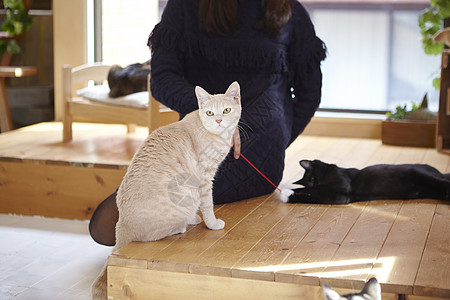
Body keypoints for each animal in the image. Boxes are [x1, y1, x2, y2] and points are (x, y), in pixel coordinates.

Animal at [91, 81, 243, 298]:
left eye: (226, 110)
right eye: (210, 113)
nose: (219, 120)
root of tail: (122, 223)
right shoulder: (205, 179)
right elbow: (207, 205)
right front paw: (212, 223)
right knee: (152, 235)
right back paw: (182, 225)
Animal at [284, 158, 450, 205]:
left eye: (312, 178)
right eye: (309, 181)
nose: (314, 183)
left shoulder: (340, 184)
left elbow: (315, 191)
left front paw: (290, 192)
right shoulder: (339, 197)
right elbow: (312, 196)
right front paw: (289, 195)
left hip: (423, 175)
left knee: (444, 182)